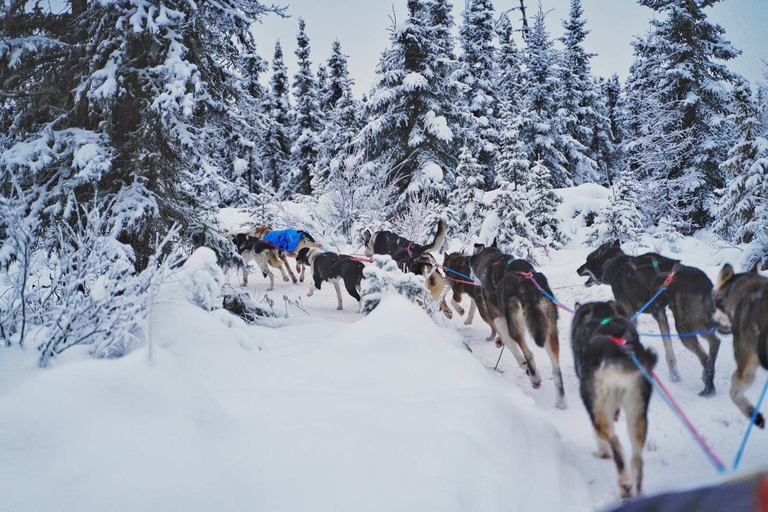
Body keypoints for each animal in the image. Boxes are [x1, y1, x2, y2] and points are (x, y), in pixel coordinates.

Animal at [464, 243, 568, 408]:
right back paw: (561, 401)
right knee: (556, 368)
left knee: (528, 353)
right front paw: (499, 341)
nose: (470, 278)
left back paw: (534, 377)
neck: (492, 258)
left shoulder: (498, 319)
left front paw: (526, 367)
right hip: (551, 330)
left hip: (515, 327)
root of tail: (527, 287)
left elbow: (515, 351)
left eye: (469, 265)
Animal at [568, 300, 656, 500]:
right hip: (637, 413)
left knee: (615, 442)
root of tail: (618, 351)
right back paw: (636, 489)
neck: (602, 317)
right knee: (637, 458)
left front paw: (601, 451)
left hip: (599, 408)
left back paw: (624, 484)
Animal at [576, 240, 728, 396]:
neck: (615, 265)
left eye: (588, 259)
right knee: (715, 342)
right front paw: (674, 375)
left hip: (685, 325)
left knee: (706, 357)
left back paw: (708, 387)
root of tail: (704, 283)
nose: (578, 269)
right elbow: (668, 350)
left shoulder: (631, 313)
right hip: (698, 322)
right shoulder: (659, 312)